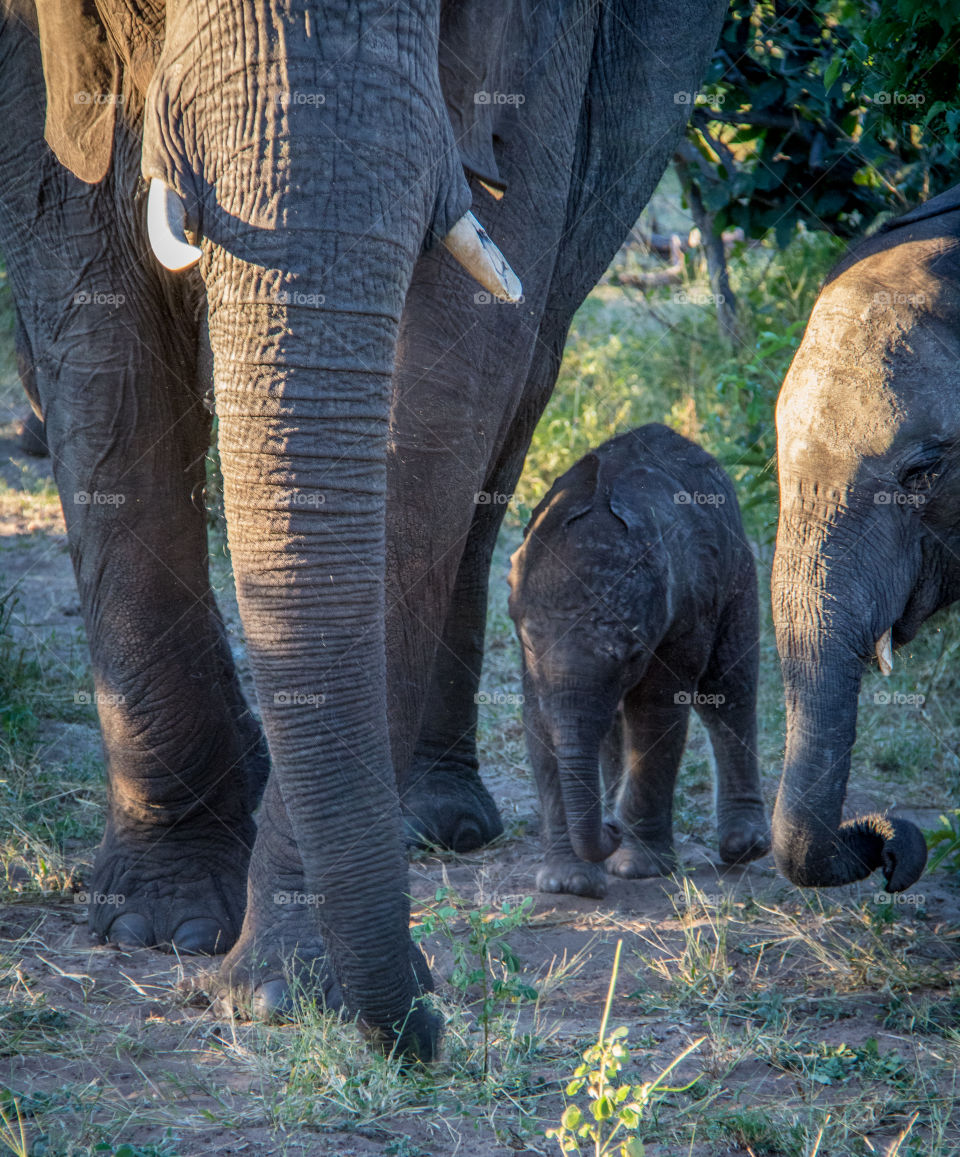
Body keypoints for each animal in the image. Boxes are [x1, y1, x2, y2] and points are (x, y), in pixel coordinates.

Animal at [0, 0, 727, 1057]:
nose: (423, 1022)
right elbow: (94, 317)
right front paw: (163, 923)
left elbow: (450, 364)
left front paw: (294, 987)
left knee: (518, 394)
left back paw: (433, 823)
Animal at [508, 424, 770, 899]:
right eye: (531, 644)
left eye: (631, 653)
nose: (609, 828)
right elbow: (541, 721)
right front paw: (568, 883)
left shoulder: (685, 611)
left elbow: (655, 712)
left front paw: (637, 868)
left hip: (739, 565)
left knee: (729, 691)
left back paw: (744, 847)